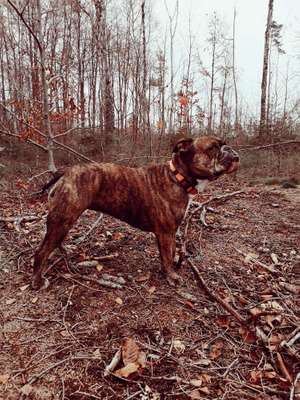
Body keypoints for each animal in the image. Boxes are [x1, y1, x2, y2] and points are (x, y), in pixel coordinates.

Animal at [32, 136, 239, 290]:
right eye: (213, 148)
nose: (231, 150)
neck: (178, 177)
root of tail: (65, 172)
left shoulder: (170, 232)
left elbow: (169, 254)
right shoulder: (166, 233)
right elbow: (167, 255)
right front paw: (171, 275)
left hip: (64, 219)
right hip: (64, 218)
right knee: (41, 251)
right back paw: (38, 281)